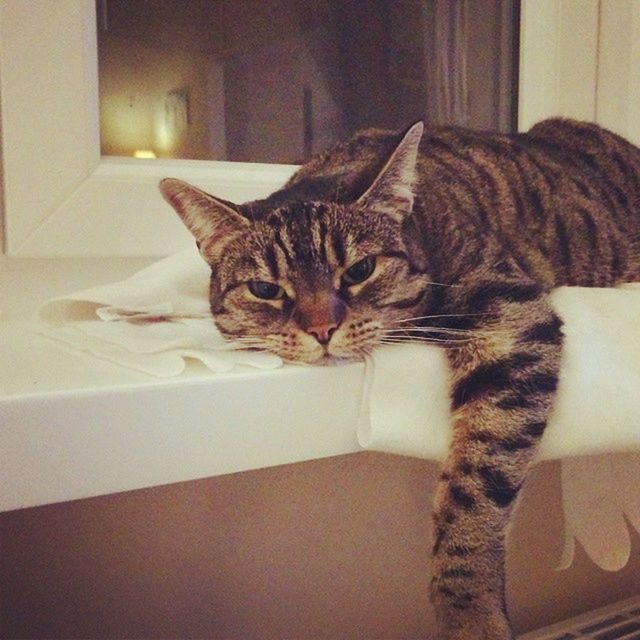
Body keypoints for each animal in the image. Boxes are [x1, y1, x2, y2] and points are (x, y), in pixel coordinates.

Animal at [159, 121, 640, 640]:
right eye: (265, 289)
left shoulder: (513, 321)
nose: (322, 329)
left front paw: (469, 613)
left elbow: (473, 493)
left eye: (360, 270)